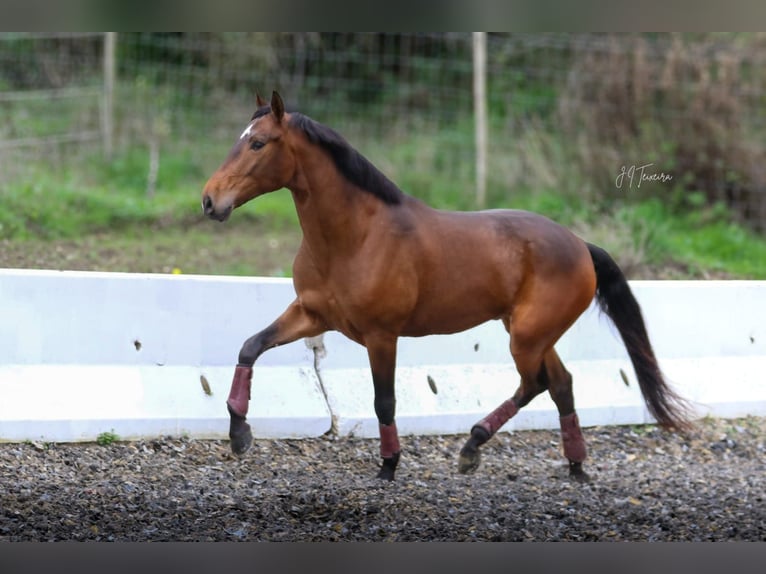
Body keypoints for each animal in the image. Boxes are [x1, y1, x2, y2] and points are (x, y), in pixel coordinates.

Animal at [202, 93, 696, 482]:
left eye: (258, 142)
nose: (210, 200)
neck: (356, 236)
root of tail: (580, 245)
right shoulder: (311, 314)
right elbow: (250, 346)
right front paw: (240, 435)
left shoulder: (381, 335)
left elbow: (385, 401)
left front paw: (389, 465)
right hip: (533, 333)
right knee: (560, 384)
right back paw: (574, 466)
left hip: (527, 336)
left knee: (535, 383)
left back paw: (472, 448)